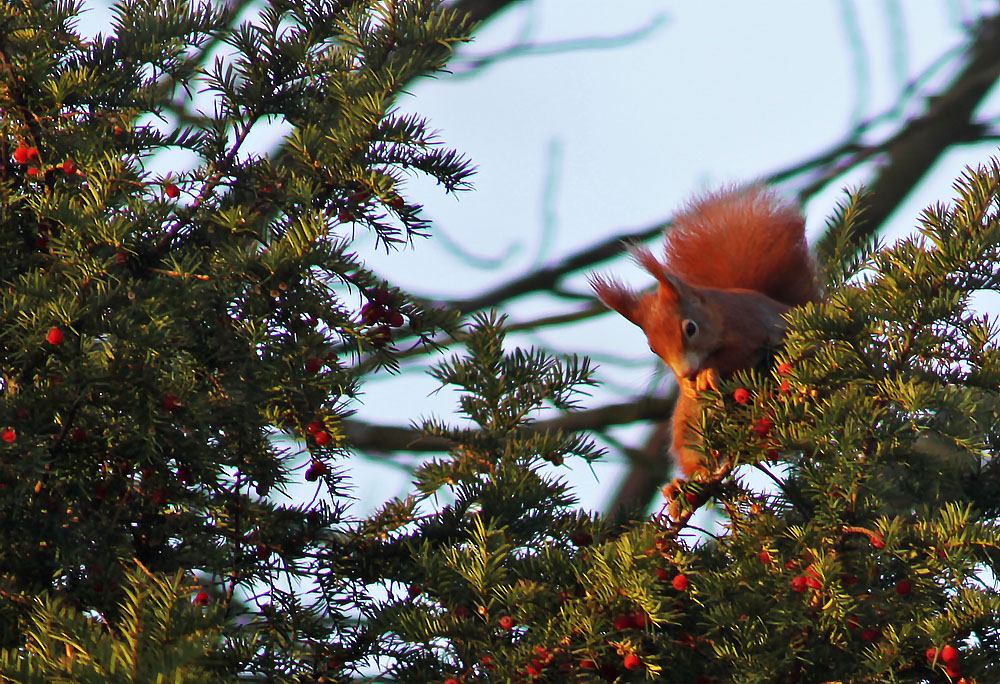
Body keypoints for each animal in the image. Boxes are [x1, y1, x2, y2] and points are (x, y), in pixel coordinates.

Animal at [588, 187, 816, 476]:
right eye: (653, 348)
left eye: (690, 328)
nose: (687, 373)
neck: (717, 314)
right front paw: (686, 385)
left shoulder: (746, 327)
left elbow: (736, 354)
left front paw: (707, 373)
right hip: (690, 419)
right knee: (691, 443)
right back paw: (689, 480)